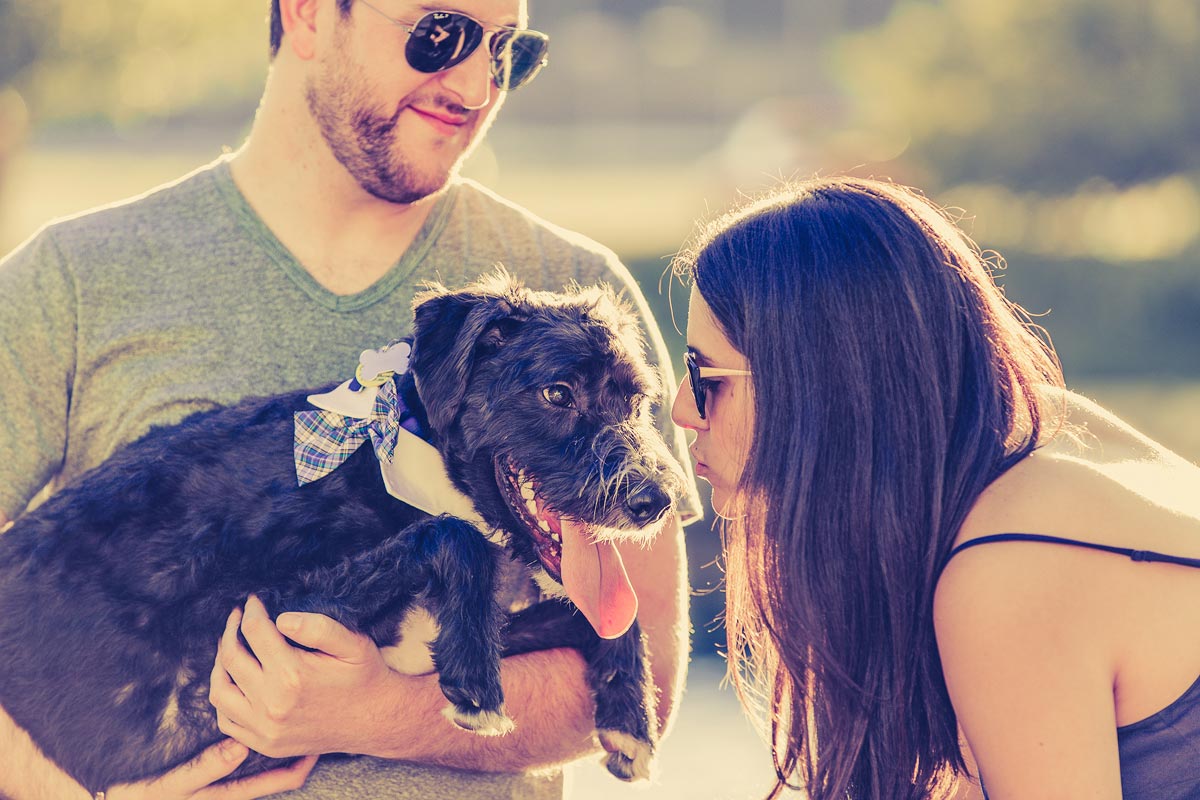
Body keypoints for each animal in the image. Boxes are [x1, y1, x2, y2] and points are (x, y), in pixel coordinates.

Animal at [0, 273, 686, 796]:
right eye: (557, 393)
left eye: (637, 400)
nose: (656, 501)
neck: (405, 459)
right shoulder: (235, 637)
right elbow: (453, 538)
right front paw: (478, 683)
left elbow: (601, 617)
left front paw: (630, 718)